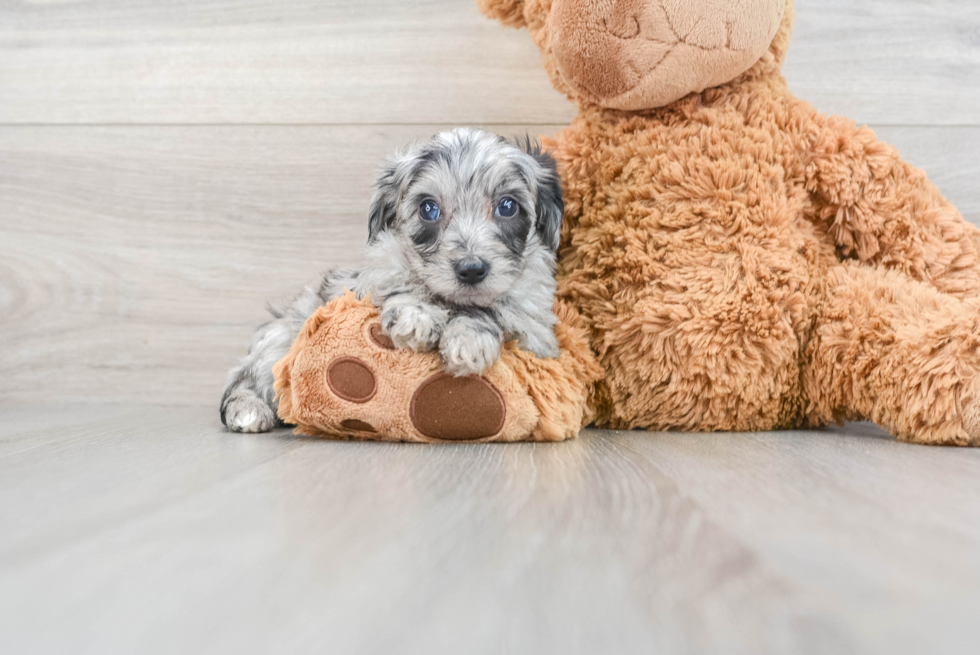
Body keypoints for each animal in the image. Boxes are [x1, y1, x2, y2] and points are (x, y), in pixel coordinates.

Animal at [219, 128, 564, 436]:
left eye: (507, 206)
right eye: (428, 208)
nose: (471, 269)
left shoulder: (534, 332)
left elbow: (494, 312)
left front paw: (468, 341)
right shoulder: (376, 275)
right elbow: (400, 281)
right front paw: (417, 316)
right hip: (279, 341)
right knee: (244, 380)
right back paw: (248, 410)